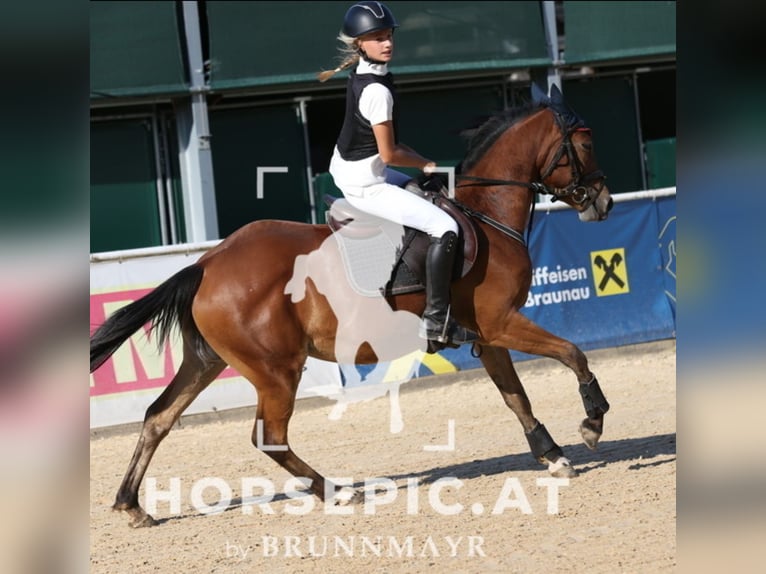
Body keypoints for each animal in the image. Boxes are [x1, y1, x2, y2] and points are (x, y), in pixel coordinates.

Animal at [90, 84, 613, 527]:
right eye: (586, 143)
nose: (603, 201)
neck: (487, 218)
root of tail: (206, 263)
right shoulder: (502, 322)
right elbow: (572, 353)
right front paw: (592, 422)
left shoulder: (489, 335)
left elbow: (515, 395)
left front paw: (552, 454)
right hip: (277, 370)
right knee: (268, 435)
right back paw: (336, 491)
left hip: (207, 360)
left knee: (158, 418)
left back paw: (131, 505)